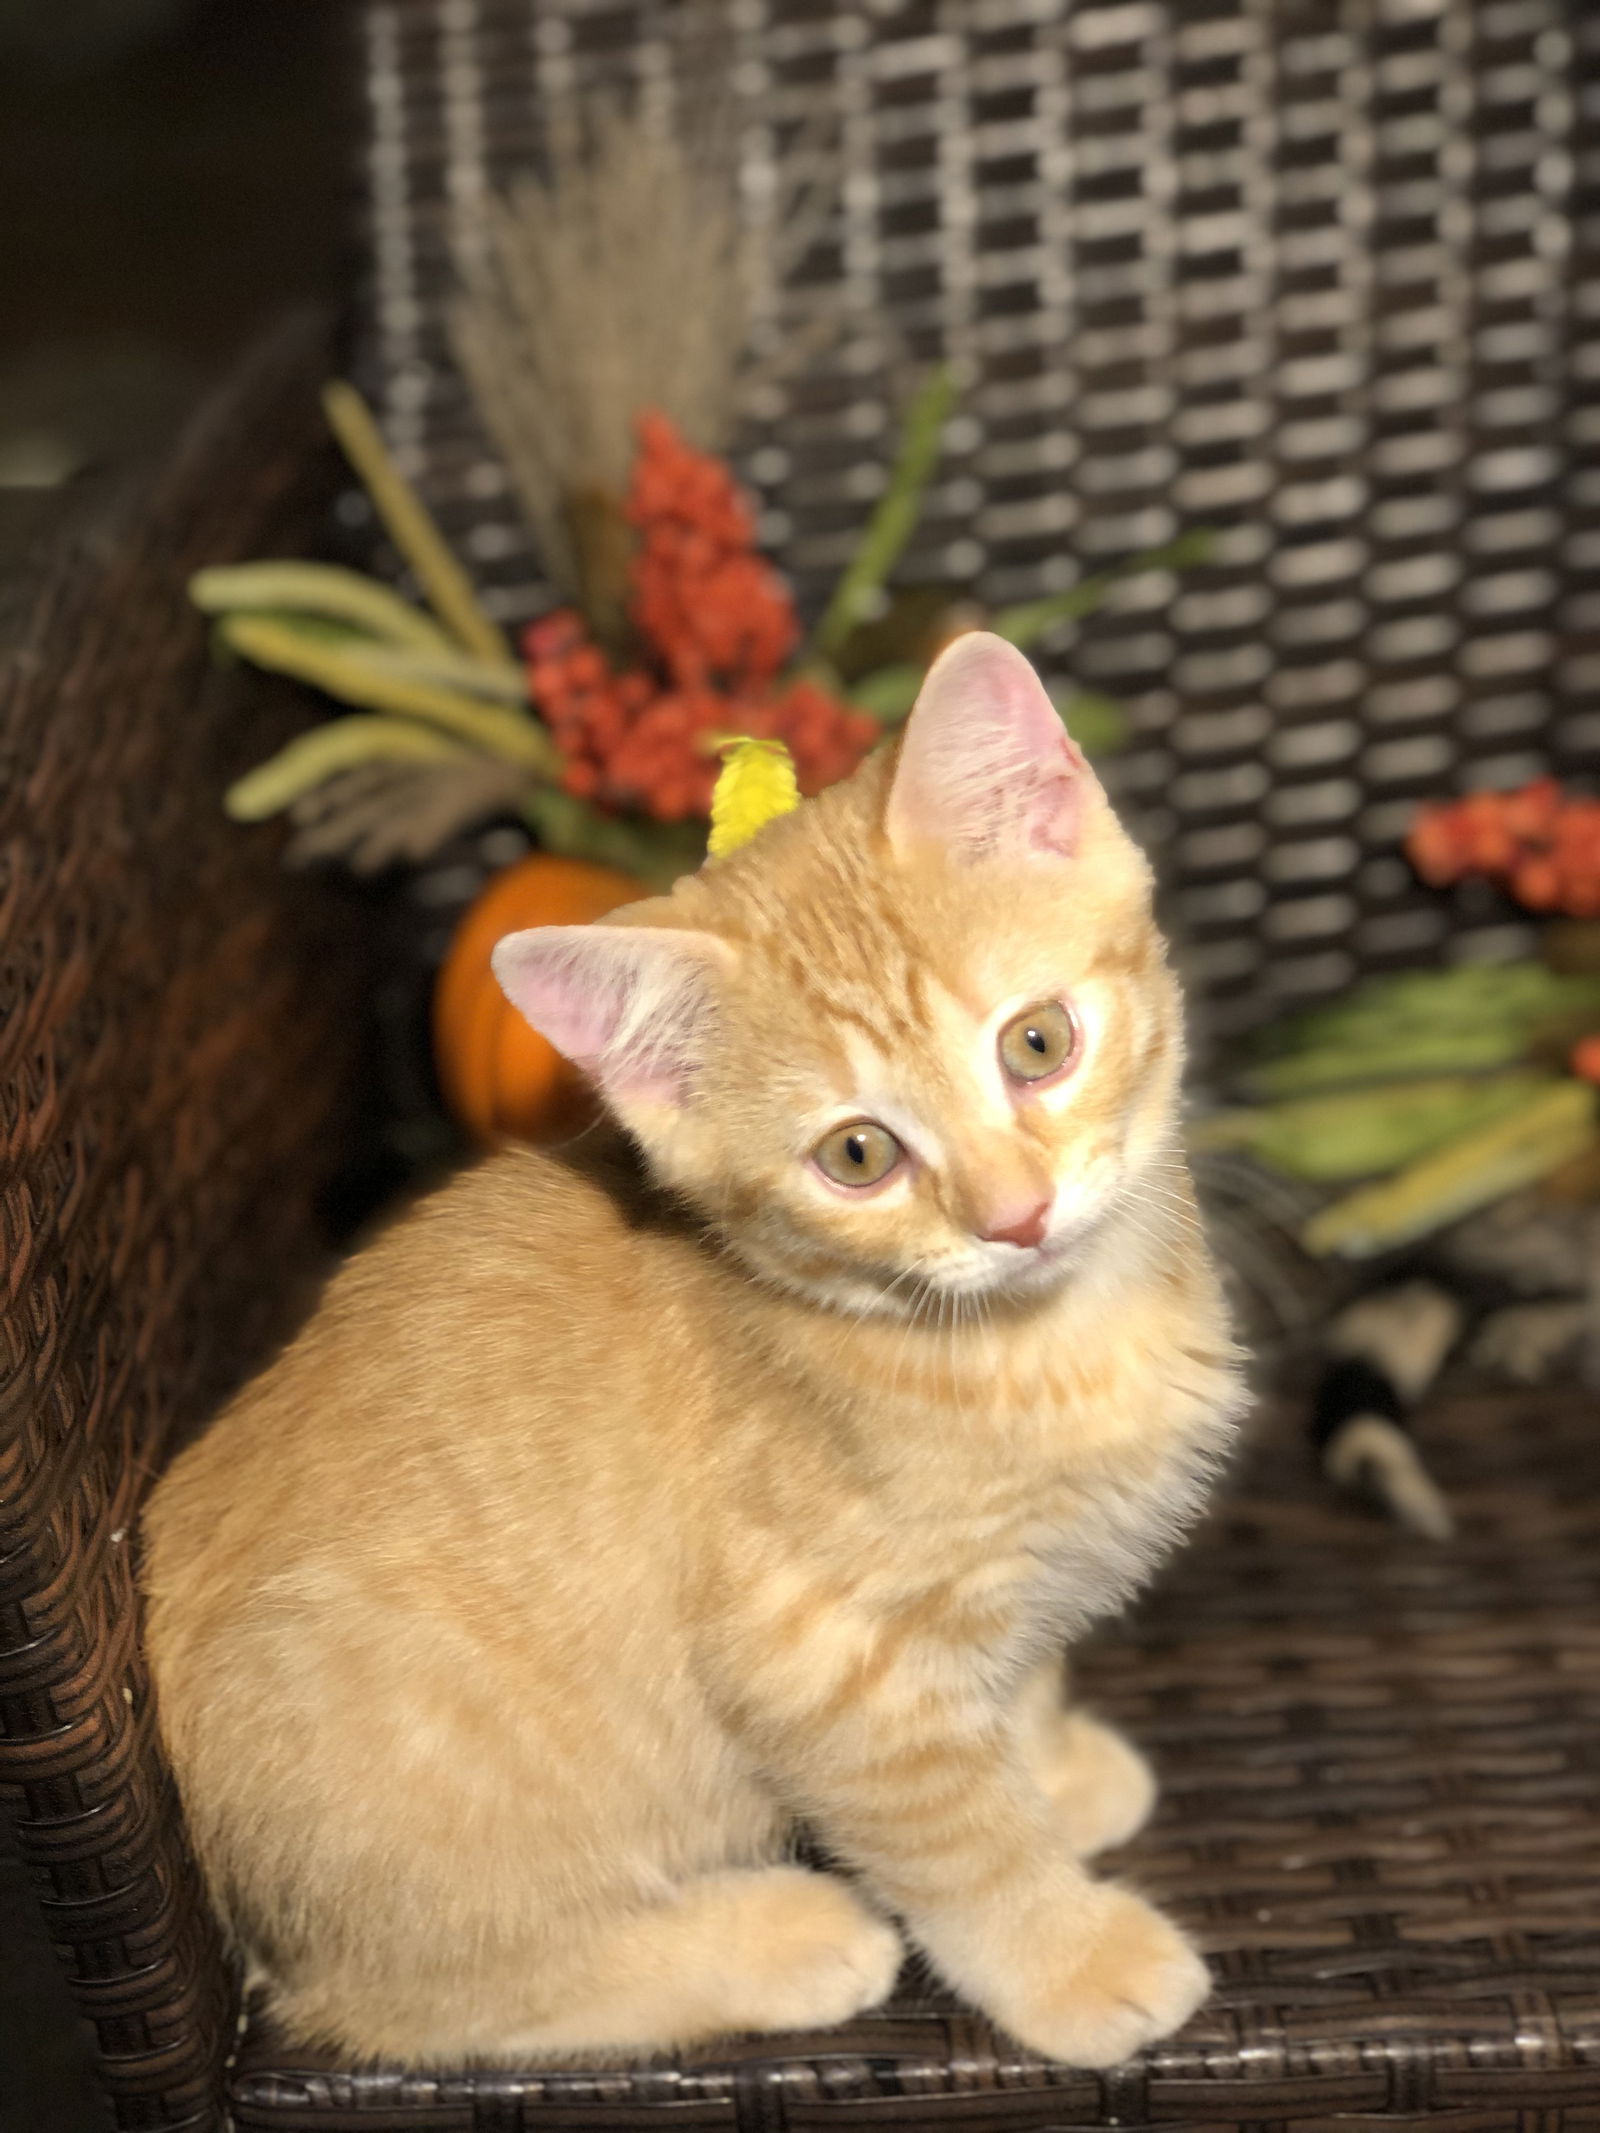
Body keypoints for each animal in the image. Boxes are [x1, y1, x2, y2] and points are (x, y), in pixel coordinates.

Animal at [144, 631, 1245, 2064]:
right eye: (857, 1156)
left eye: (1039, 1042)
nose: (1016, 1218)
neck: (1034, 1344)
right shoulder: (824, 1660)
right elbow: (958, 1839)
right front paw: (1070, 1956)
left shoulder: (1002, 1594)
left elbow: (1013, 1691)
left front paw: (1052, 1770)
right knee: (402, 1998)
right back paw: (780, 1936)